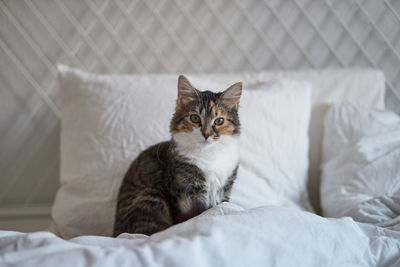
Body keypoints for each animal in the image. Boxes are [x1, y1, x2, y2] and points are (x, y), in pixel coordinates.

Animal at [114, 75, 242, 237]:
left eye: (219, 121)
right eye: (195, 118)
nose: (206, 134)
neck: (209, 155)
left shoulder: (224, 190)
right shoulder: (187, 194)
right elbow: (193, 217)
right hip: (151, 197)